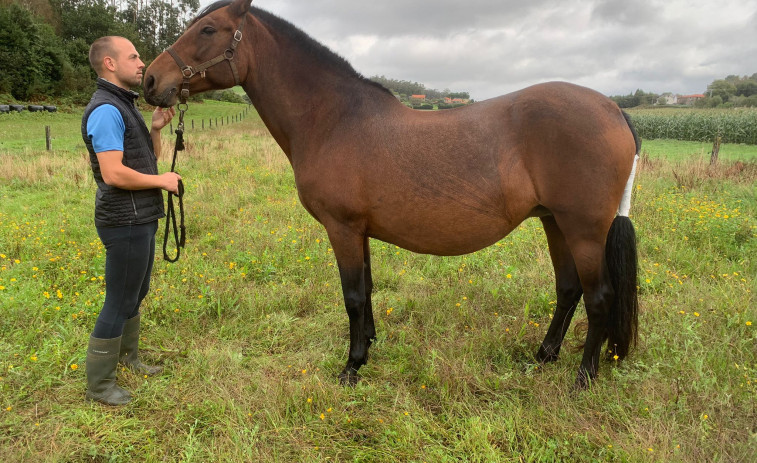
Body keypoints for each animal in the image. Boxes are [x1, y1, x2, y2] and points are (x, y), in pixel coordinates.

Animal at [142, 0, 636, 390]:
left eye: (208, 29)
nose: (149, 80)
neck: (334, 118)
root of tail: (614, 110)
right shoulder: (359, 230)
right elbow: (368, 288)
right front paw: (369, 345)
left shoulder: (341, 228)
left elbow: (352, 295)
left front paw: (351, 367)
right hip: (555, 222)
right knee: (569, 288)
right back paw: (544, 354)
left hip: (583, 230)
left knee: (599, 297)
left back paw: (584, 377)